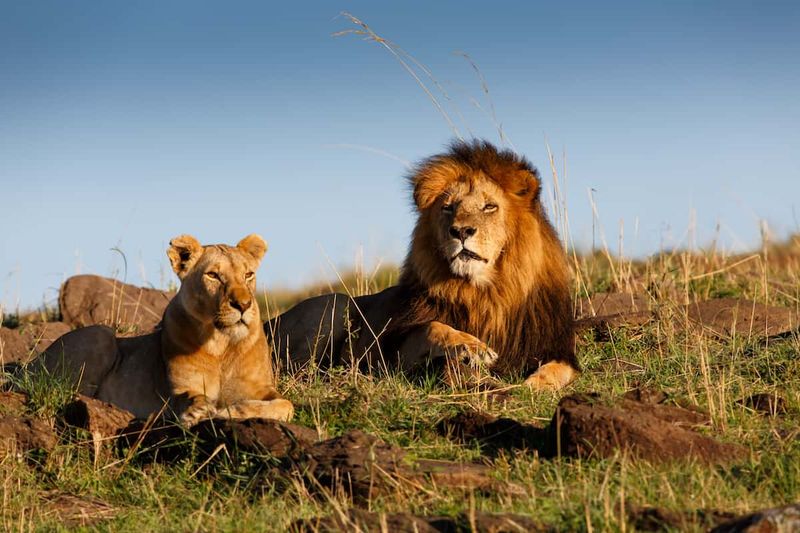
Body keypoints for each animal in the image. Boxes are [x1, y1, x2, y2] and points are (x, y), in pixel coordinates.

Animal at [35, 233, 294, 424]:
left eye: (248, 274)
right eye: (213, 275)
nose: (243, 305)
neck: (222, 343)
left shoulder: (262, 388)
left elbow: (286, 404)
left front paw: (232, 411)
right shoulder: (178, 390)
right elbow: (188, 397)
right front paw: (198, 411)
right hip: (100, 334)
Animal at [272, 140, 580, 390]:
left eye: (489, 206)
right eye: (449, 207)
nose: (461, 231)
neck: (485, 293)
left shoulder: (554, 346)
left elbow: (560, 370)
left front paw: (535, 385)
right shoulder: (395, 353)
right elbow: (434, 326)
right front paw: (473, 347)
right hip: (334, 304)